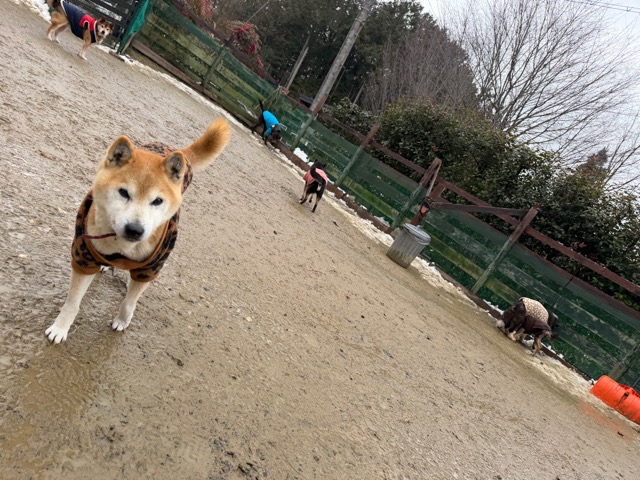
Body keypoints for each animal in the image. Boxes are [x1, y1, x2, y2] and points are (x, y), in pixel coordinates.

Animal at [45, 119, 231, 343]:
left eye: (157, 201)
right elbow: (72, 303)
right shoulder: (84, 256)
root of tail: (173, 149)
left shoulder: (150, 268)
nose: (135, 229)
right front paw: (60, 328)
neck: (122, 245)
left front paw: (122, 321)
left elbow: (129, 303)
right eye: (123, 193)